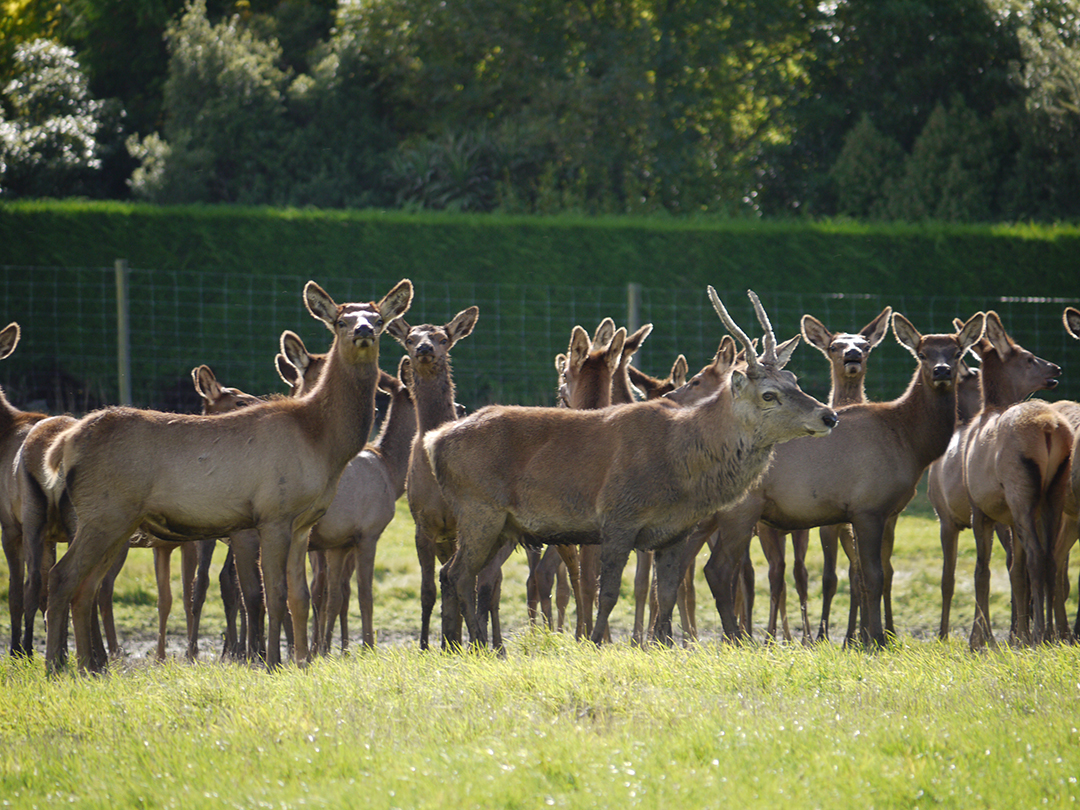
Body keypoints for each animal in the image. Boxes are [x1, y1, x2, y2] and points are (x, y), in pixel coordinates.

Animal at [43, 278, 412, 673]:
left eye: (379, 320)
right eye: (341, 321)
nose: (363, 331)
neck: (322, 441)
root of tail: (66, 443)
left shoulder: (303, 523)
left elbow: (300, 596)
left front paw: (302, 661)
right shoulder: (273, 513)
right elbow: (273, 594)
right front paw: (272, 661)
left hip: (116, 522)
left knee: (86, 588)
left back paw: (89, 666)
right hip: (104, 514)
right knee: (62, 577)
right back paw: (56, 666)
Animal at [421, 289, 833, 652]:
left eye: (794, 381)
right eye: (769, 395)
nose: (829, 415)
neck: (681, 467)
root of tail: (434, 441)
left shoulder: (676, 530)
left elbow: (665, 593)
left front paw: (663, 645)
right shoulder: (619, 515)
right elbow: (608, 591)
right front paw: (595, 642)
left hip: (501, 524)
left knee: (456, 574)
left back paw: (454, 645)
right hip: (479, 508)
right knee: (459, 574)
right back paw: (476, 644)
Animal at [699, 313, 989, 652]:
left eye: (957, 352)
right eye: (922, 353)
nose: (942, 371)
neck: (910, 441)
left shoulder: (880, 513)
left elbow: (866, 575)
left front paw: (870, 637)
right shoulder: (868, 508)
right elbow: (873, 576)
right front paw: (876, 640)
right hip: (741, 510)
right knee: (718, 570)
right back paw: (735, 640)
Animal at [963, 313, 1071, 652]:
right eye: (1029, 358)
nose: (1056, 369)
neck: (988, 409)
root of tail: (1050, 427)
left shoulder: (978, 508)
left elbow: (982, 572)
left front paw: (978, 640)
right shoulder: (1009, 517)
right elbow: (1014, 572)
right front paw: (1017, 634)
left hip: (1020, 489)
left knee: (1037, 556)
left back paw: (1039, 635)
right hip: (1054, 491)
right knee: (1050, 557)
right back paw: (1049, 634)